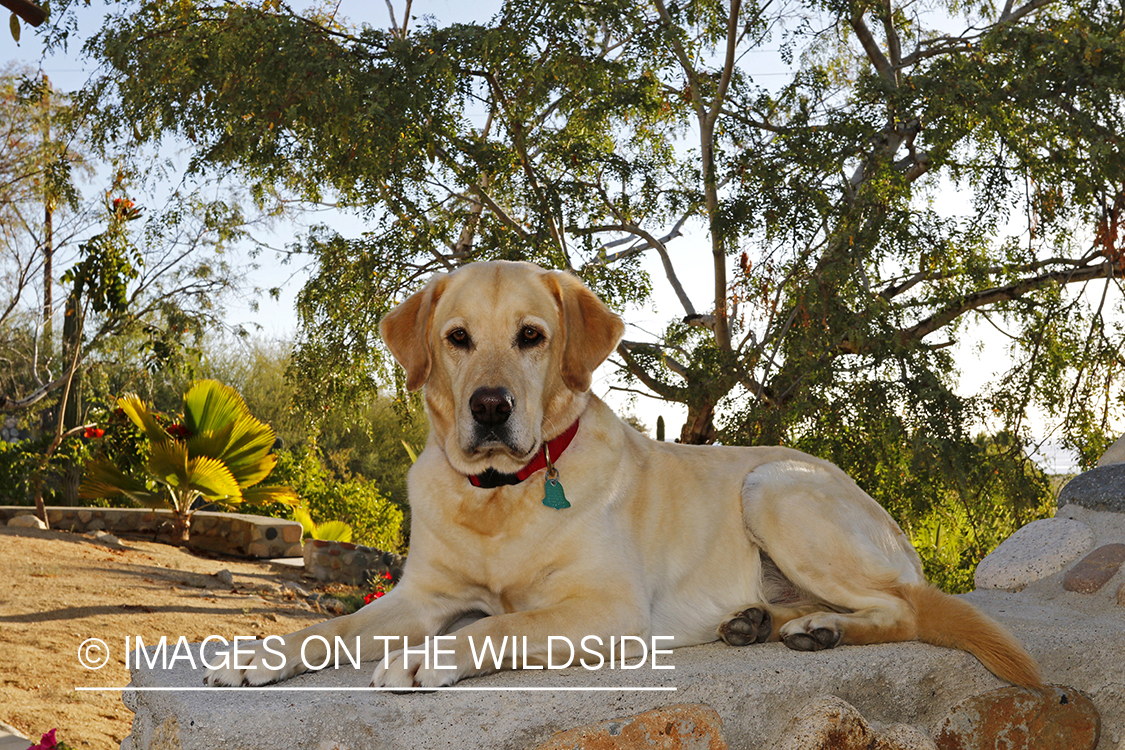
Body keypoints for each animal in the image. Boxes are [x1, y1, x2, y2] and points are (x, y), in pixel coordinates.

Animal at [204, 259, 1044, 692]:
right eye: (456, 338)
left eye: (531, 336)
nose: (489, 406)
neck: (502, 495)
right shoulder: (418, 598)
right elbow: (330, 628)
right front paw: (258, 656)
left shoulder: (606, 612)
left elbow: (501, 623)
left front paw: (429, 659)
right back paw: (765, 622)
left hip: (770, 487)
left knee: (903, 608)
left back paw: (816, 628)